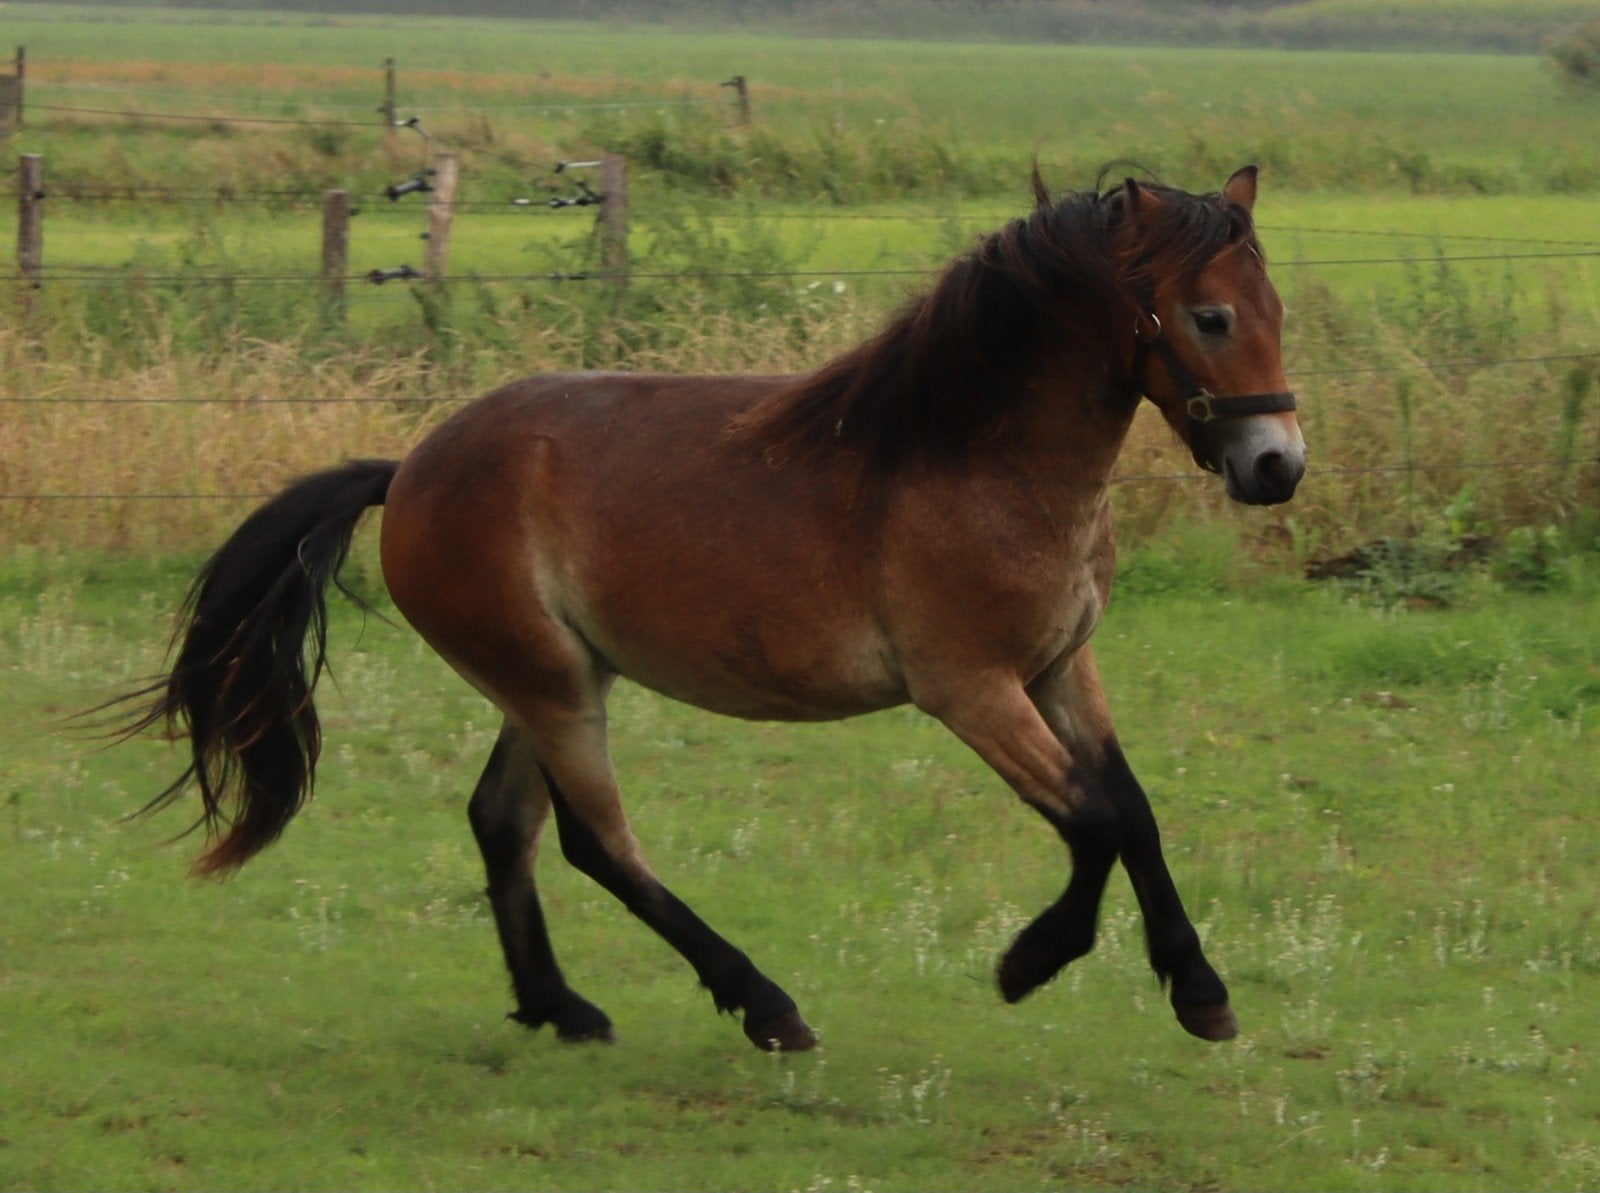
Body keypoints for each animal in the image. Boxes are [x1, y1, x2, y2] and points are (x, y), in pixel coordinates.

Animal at [115, 166, 1304, 1053]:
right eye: (1209, 315)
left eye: (1275, 312)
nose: (1277, 464)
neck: (973, 459)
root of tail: (407, 469)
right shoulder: (969, 689)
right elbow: (1092, 819)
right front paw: (1029, 962)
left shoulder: (1061, 667)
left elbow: (1132, 808)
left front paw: (1200, 991)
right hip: (553, 686)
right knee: (598, 842)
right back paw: (764, 1003)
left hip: (547, 678)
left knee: (505, 822)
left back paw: (561, 1006)